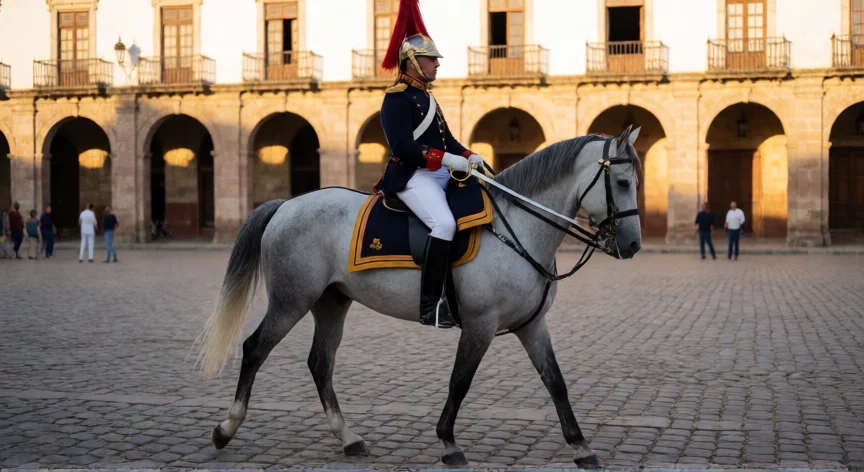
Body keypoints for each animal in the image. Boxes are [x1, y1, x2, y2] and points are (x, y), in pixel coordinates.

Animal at [193, 126, 644, 468]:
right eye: (622, 182)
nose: (633, 245)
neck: (516, 225)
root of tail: (287, 205)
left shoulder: (533, 325)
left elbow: (556, 382)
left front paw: (581, 446)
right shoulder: (480, 324)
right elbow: (460, 381)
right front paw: (449, 442)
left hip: (331, 302)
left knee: (320, 363)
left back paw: (348, 437)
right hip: (291, 302)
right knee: (254, 349)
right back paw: (226, 428)